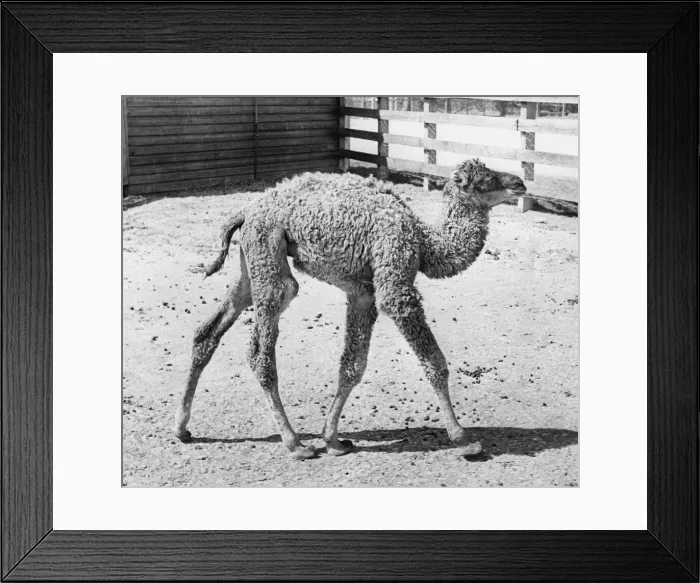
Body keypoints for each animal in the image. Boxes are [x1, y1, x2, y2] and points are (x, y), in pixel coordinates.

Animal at [174, 159, 526, 460]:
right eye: (486, 178)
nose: (520, 183)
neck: (424, 242)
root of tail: (245, 211)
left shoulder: (363, 293)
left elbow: (353, 366)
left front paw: (333, 439)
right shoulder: (395, 286)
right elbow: (434, 362)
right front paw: (463, 440)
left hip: (252, 261)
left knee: (209, 330)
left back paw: (182, 428)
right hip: (269, 253)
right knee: (262, 350)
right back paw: (295, 443)